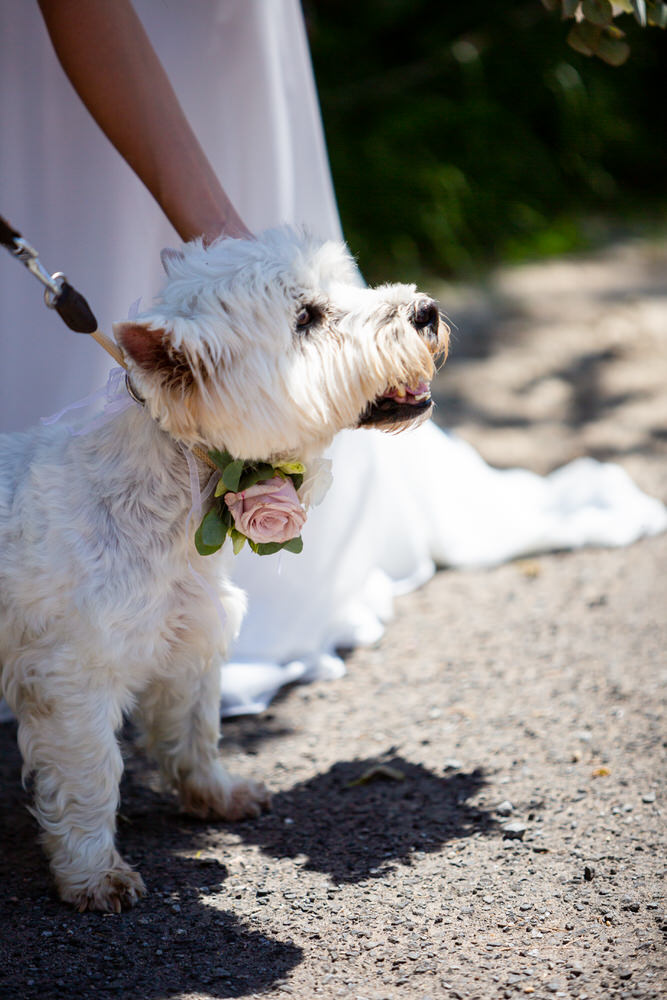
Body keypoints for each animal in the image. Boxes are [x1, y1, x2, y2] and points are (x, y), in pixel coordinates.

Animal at [1, 229, 448, 916]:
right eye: (306, 317)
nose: (425, 309)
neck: (166, 499)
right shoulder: (73, 678)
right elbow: (92, 777)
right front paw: (95, 873)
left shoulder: (189, 640)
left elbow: (195, 729)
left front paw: (215, 795)